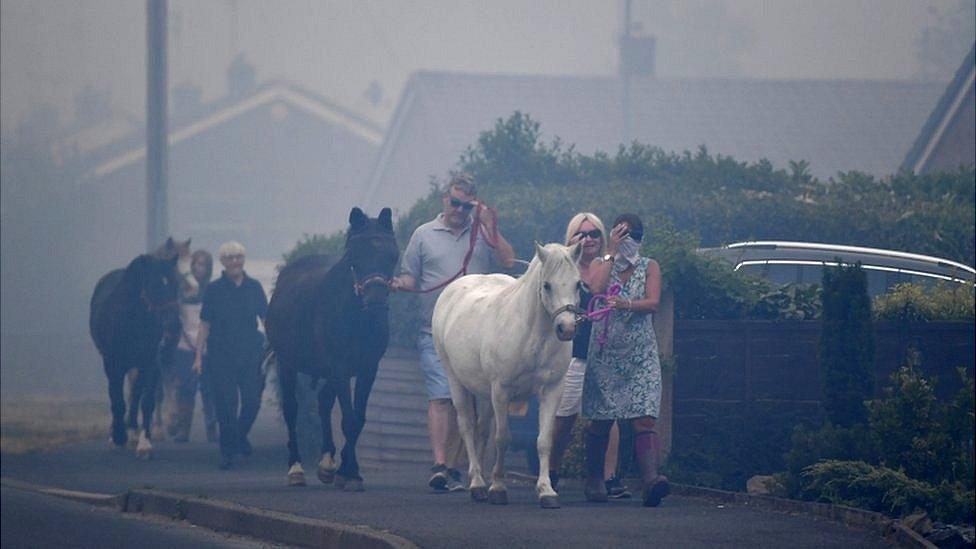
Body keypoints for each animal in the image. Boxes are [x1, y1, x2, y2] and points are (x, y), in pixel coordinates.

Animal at [264, 208, 398, 490]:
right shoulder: (339, 366)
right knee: (291, 408)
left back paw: (327, 464)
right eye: (355, 256)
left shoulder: (367, 368)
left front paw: (347, 470)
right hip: (287, 362)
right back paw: (296, 468)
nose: (375, 302)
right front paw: (350, 472)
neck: (356, 316)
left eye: (392, 254)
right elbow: (348, 418)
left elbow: (358, 418)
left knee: (324, 400)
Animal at [432, 242, 584, 508]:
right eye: (547, 285)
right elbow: (502, 438)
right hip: (456, 381)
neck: (532, 336)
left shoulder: (552, 390)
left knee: (482, 429)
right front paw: (498, 488)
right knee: (467, 426)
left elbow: (544, 440)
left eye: (577, 283)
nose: (566, 329)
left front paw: (546, 491)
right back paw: (477, 483)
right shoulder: (501, 391)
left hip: (484, 392)